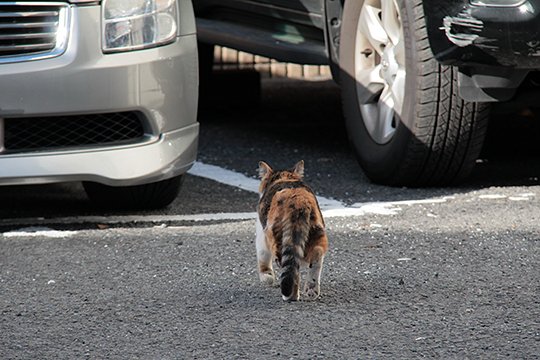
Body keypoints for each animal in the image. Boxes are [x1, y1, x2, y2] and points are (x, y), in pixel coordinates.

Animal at [255, 161, 326, 300]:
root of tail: (298, 199)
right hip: (317, 233)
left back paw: (290, 296)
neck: (285, 177)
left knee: (291, 267)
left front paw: (266, 276)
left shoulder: (262, 233)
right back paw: (312, 289)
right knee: (317, 255)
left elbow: (263, 256)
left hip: (278, 238)